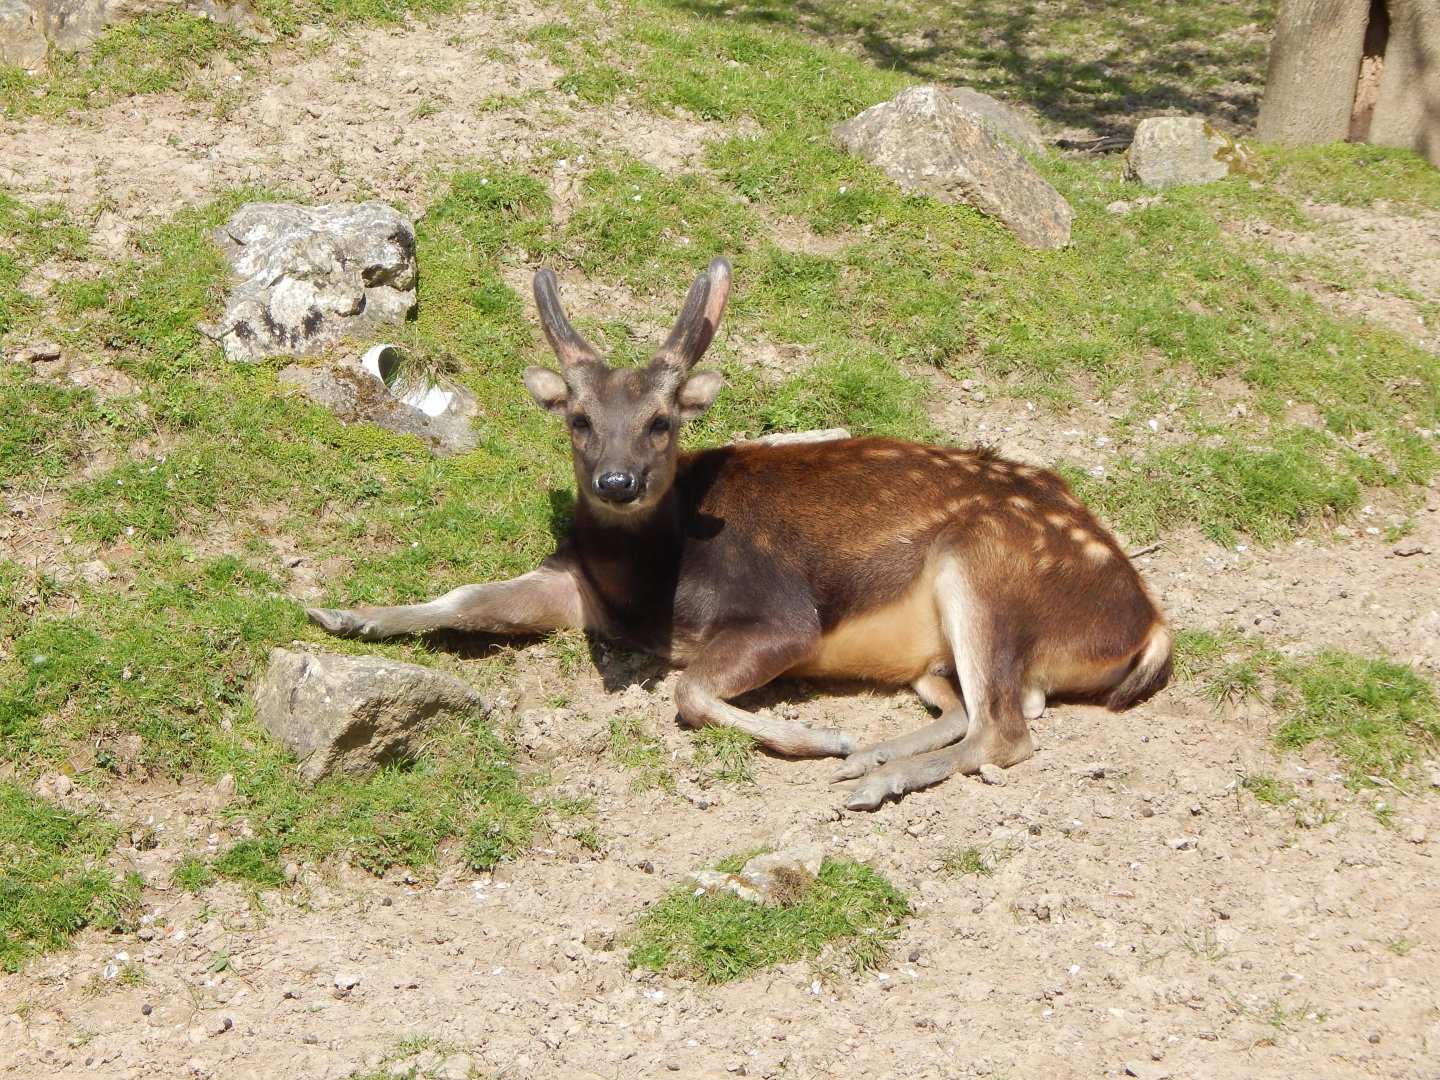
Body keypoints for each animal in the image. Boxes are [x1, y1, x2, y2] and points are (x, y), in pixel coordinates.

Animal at [307, 257, 1173, 809]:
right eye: (578, 418)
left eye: (662, 421)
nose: (616, 483)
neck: (652, 587)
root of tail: (1151, 627)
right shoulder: (576, 585)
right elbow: (471, 596)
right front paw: (343, 612)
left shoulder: (783, 615)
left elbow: (689, 691)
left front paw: (818, 736)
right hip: (937, 654)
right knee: (968, 710)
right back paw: (875, 754)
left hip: (989, 567)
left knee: (1005, 730)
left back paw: (866, 777)